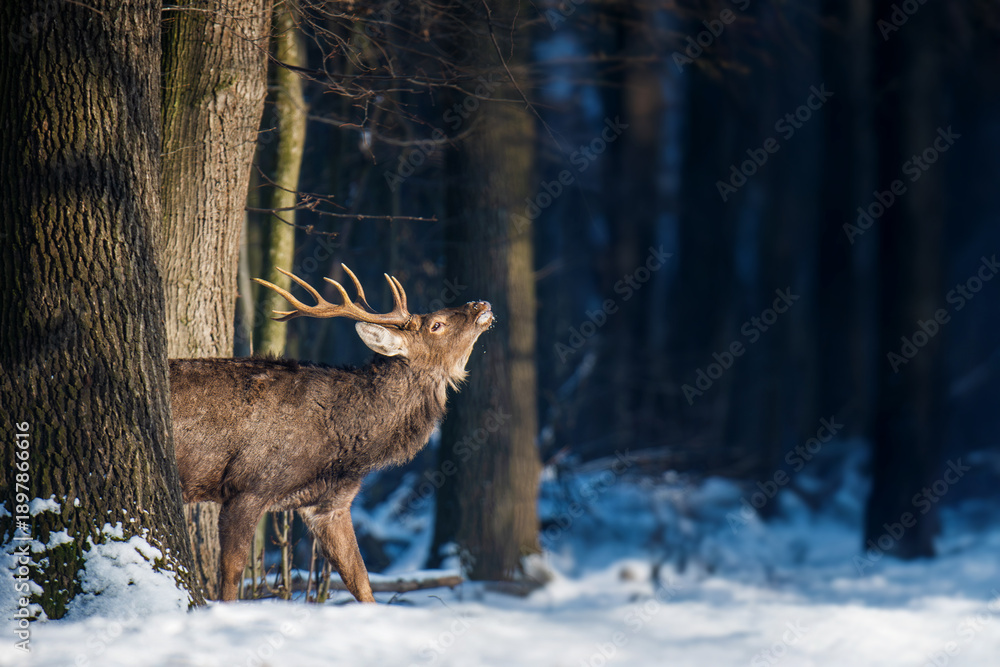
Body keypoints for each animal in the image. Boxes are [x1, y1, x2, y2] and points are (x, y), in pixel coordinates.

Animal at [169, 265, 493, 603]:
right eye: (436, 325)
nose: (480, 304)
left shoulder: (331, 504)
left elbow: (360, 579)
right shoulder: (247, 487)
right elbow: (230, 580)